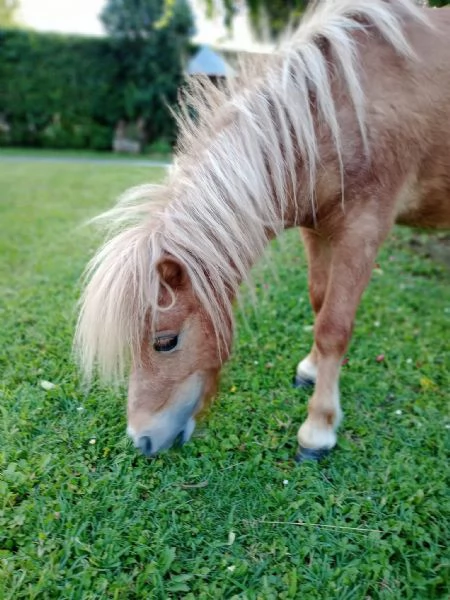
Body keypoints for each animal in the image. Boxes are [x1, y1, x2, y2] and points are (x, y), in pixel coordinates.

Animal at [74, 0, 450, 462]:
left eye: (165, 342)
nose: (141, 439)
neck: (335, 116)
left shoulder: (362, 232)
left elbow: (334, 327)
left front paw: (318, 429)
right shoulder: (317, 229)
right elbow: (319, 302)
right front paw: (310, 370)